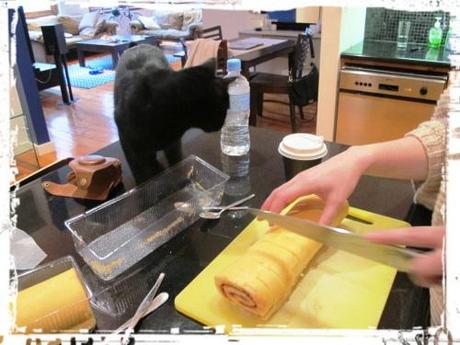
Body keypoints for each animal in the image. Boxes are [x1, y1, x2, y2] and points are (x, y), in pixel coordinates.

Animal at [115, 44, 230, 184]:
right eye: (224, 108)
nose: (223, 124)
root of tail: (138, 45)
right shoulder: (130, 146)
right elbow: (140, 173)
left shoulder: (173, 144)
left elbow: (176, 162)